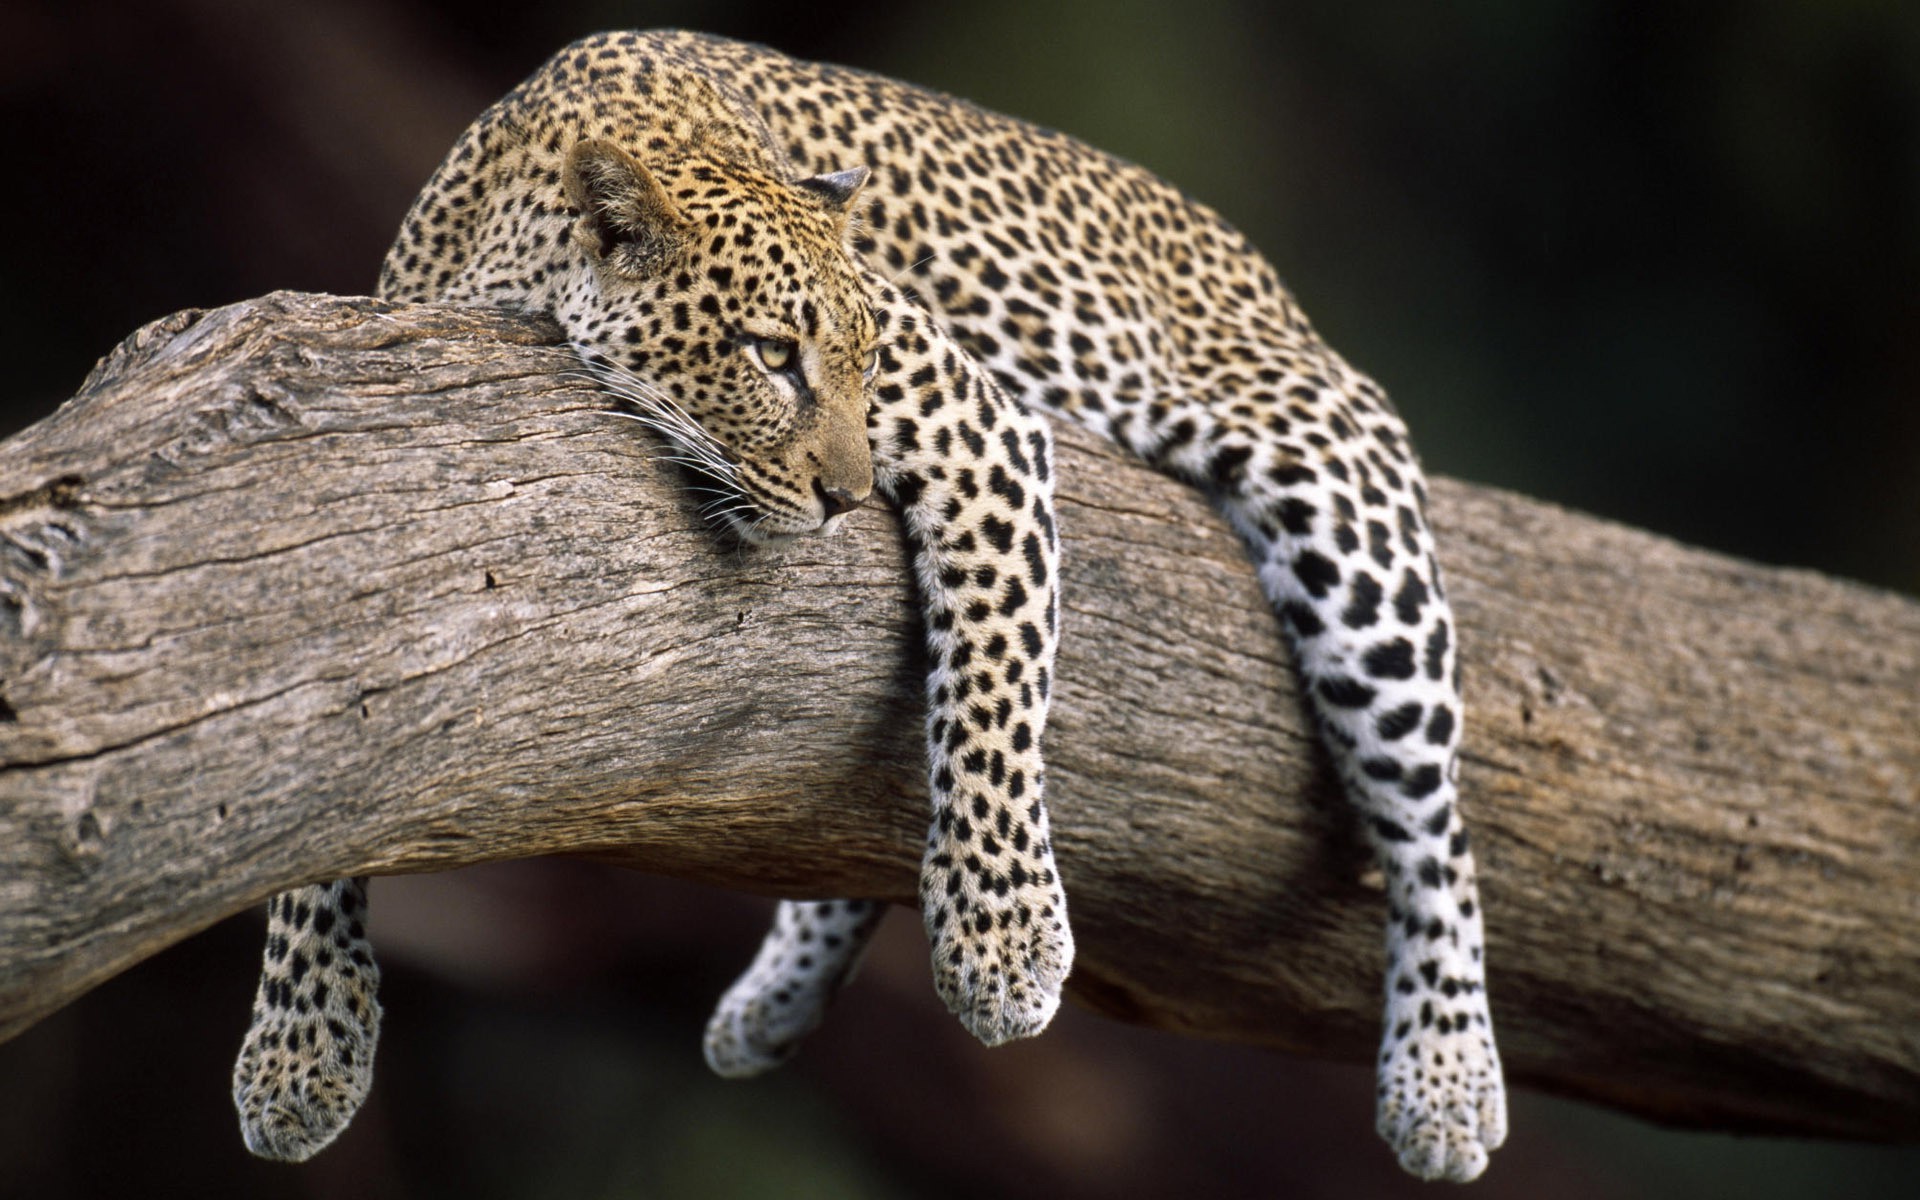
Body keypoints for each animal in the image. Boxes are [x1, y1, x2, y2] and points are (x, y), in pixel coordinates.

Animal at [232, 28, 1505, 1182]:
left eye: (868, 358)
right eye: (769, 355)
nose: (847, 498)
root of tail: (1255, 265)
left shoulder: (984, 426)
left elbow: (991, 682)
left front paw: (1002, 941)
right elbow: (320, 774)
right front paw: (301, 1049)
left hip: (1344, 513)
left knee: (1433, 823)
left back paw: (1446, 1080)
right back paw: (773, 1002)